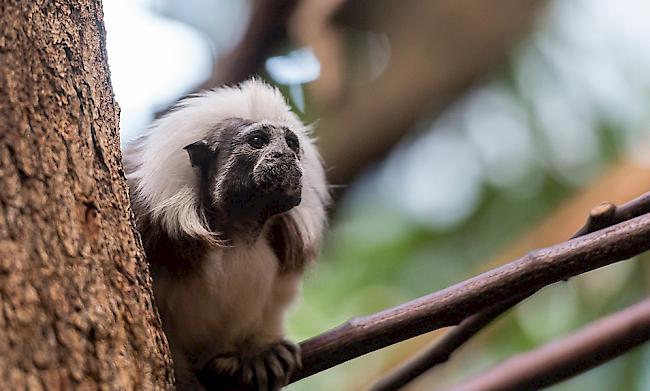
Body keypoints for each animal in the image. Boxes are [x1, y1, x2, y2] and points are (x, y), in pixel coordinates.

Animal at [121, 79, 326, 391]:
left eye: (291, 143)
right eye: (258, 141)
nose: (286, 155)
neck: (235, 231)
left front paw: (257, 352)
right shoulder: (146, 219)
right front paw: (183, 377)